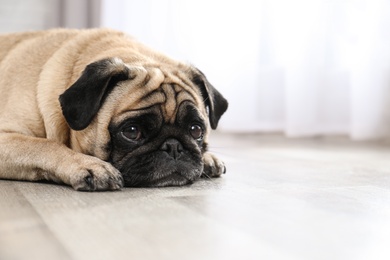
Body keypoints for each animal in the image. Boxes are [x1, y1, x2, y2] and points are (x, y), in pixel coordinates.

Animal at [0, 27, 227, 191]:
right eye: (132, 132)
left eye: (196, 130)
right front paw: (89, 165)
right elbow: (44, 145)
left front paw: (207, 158)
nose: (173, 146)